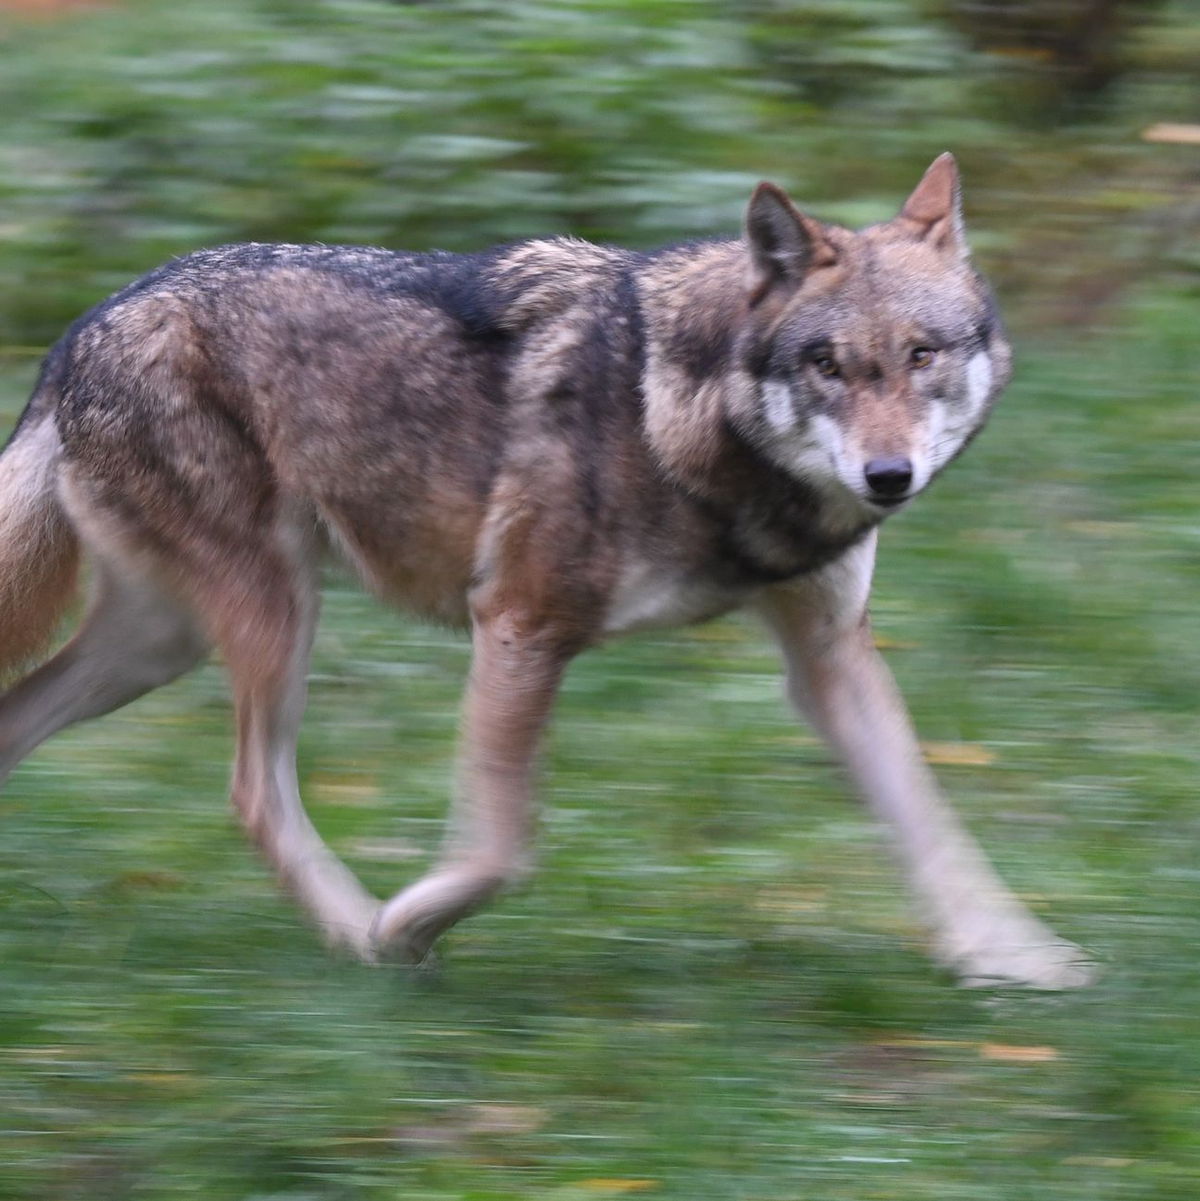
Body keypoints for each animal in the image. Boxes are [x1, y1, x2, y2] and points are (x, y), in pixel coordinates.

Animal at [0, 154, 1090, 987]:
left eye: (921, 355)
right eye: (828, 365)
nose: (888, 475)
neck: (686, 422)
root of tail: (78, 331)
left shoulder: (829, 658)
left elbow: (931, 820)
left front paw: (1015, 958)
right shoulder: (520, 624)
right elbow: (501, 848)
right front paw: (404, 926)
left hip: (163, 645)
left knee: (29, 720)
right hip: (268, 619)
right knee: (253, 792)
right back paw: (355, 931)